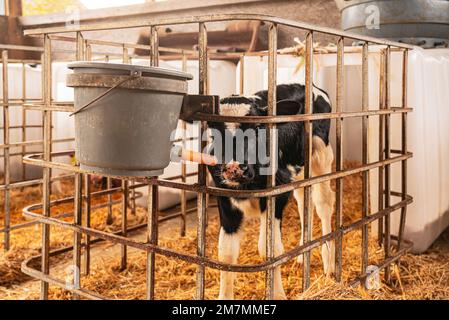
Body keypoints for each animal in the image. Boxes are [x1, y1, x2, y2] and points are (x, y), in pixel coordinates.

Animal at [208, 83, 334, 300]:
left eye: (257, 128)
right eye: (213, 131)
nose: (234, 168)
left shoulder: (278, 193)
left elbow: (270, 248)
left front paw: (277, 294)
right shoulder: (225, 200)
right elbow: (226, 253)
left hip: (322, 154)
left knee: (323, 204)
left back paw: (329, 264)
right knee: (304, 202)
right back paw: (303, 254)